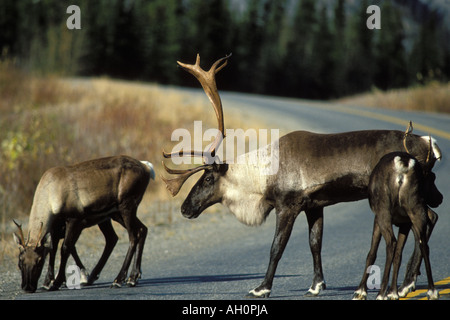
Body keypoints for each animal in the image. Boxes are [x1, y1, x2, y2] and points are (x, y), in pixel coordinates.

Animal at [13, 155, 155, 292]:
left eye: (39, 261)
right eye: (20, 261)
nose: (28, 287)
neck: (51, 194)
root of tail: (147, 167)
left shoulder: (74, 220)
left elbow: (65, 248)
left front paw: (57, 282)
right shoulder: (56, 225)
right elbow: (53, 248)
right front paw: (47, 282)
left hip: (126, 206)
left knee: (132, 236)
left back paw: (119, 280)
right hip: (115, 214)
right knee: (138, 230)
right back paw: (132, 276)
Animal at [354, 152, 442, 300]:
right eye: (432, 178)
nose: (440, 198)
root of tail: (403, 167)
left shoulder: (377, 218)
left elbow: (372, 253)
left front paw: (361, 291)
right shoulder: (405, 223)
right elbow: (398, 255)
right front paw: (393, 292)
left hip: (384, 212)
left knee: (391, 243)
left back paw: (381, 294)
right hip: (415, 209)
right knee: (423, 245)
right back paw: (432, 291)